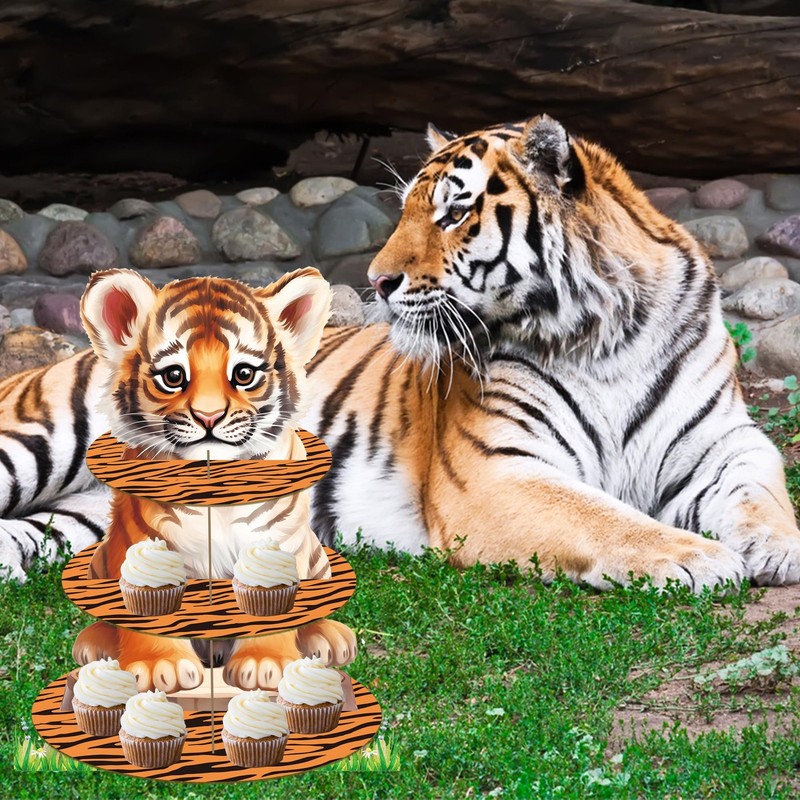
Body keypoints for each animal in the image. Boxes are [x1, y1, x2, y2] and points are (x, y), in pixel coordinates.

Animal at [1, 112, 799, 634]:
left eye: (453, 214)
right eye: (408, 208)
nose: (377, 282)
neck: (604, 335)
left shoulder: (724, 440)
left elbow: (762, 491)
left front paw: (776, 548)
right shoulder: (498, 471)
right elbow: (607, 519)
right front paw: (698, 560)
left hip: (89, 515)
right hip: (42, 433)